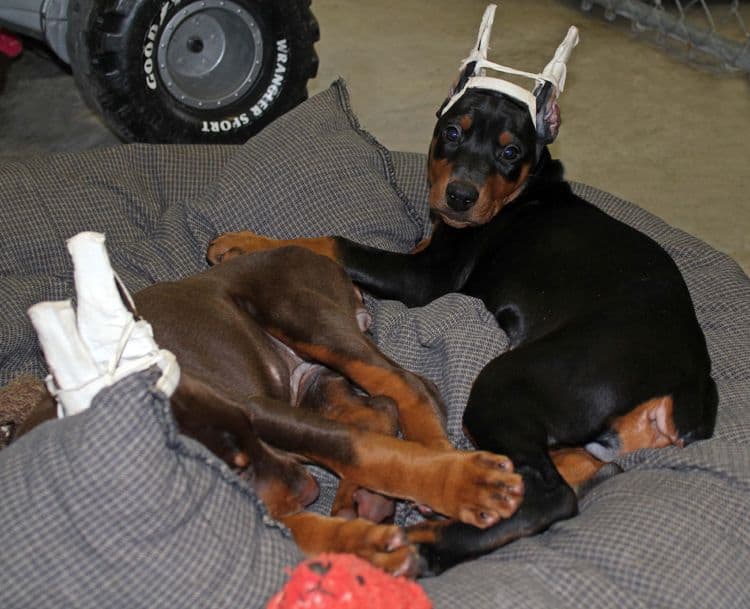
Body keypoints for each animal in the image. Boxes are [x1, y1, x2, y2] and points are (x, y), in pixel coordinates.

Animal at [17, 243, 524, 576]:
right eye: (233, 472)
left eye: (242, 452)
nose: (307, 490)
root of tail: (312, 252)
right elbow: (300, 527)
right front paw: (364, 547)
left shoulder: (257, 409)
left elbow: (363, 450)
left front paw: (473, 486)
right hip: (311, 382)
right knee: (377, 409)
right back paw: (362, 501)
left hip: (302, 317)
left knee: (408, 389)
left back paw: (447, 464)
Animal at [209, 88, 720, 572]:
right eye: (453, 132)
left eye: (511, 151)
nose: (459, 196)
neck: (525, 190)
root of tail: (690, 383)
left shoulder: (424, 277)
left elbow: (335, 242)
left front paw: (241, 243)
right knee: (576, 468)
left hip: (511, 381)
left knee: (550, 496)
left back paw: (423, 542)